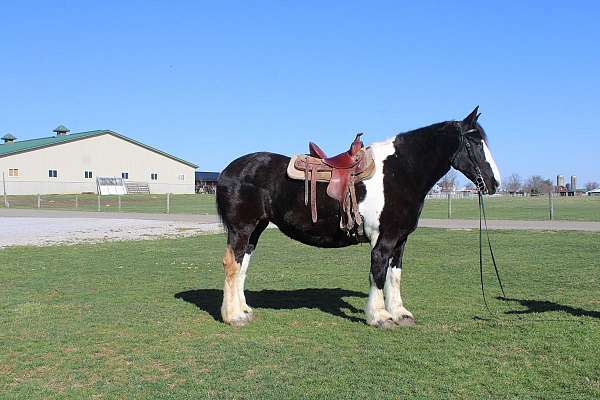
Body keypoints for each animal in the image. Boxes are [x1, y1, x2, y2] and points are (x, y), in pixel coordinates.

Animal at [217, 107, 502, 328]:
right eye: (475, 143)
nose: (494, 183)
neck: (400, 172)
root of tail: (228, 171)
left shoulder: (400, 241)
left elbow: (394, 275)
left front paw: (401, 314)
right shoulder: (384, 240)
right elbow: (378, 273)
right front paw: (381, 317)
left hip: (256, 229)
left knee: (242, 265)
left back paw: (244, 310)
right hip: (242, 229)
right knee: (232, 265)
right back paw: (233, 317)